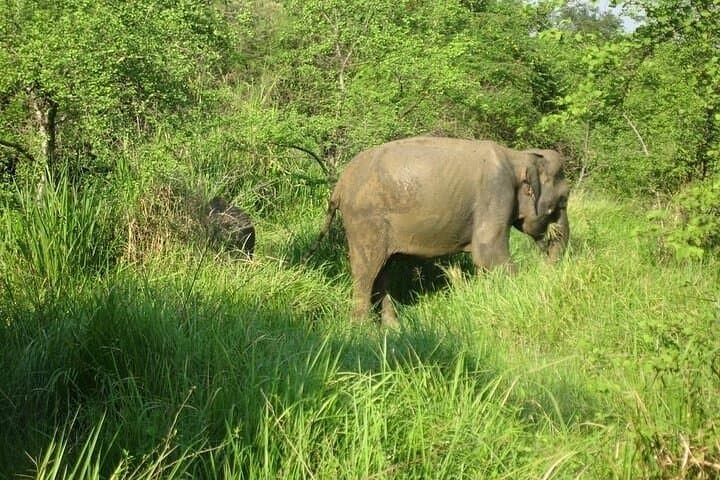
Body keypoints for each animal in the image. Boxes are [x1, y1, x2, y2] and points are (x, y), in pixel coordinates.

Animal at [305, 136, 570, 327]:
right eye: (563, 200)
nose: (545, 261)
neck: (518, 156)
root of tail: (339, 186)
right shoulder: (496, 191)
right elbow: (487, 252)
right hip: (366, 221)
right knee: (366, 271)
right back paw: (363, 331)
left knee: (382, 271)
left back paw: (393, 329)